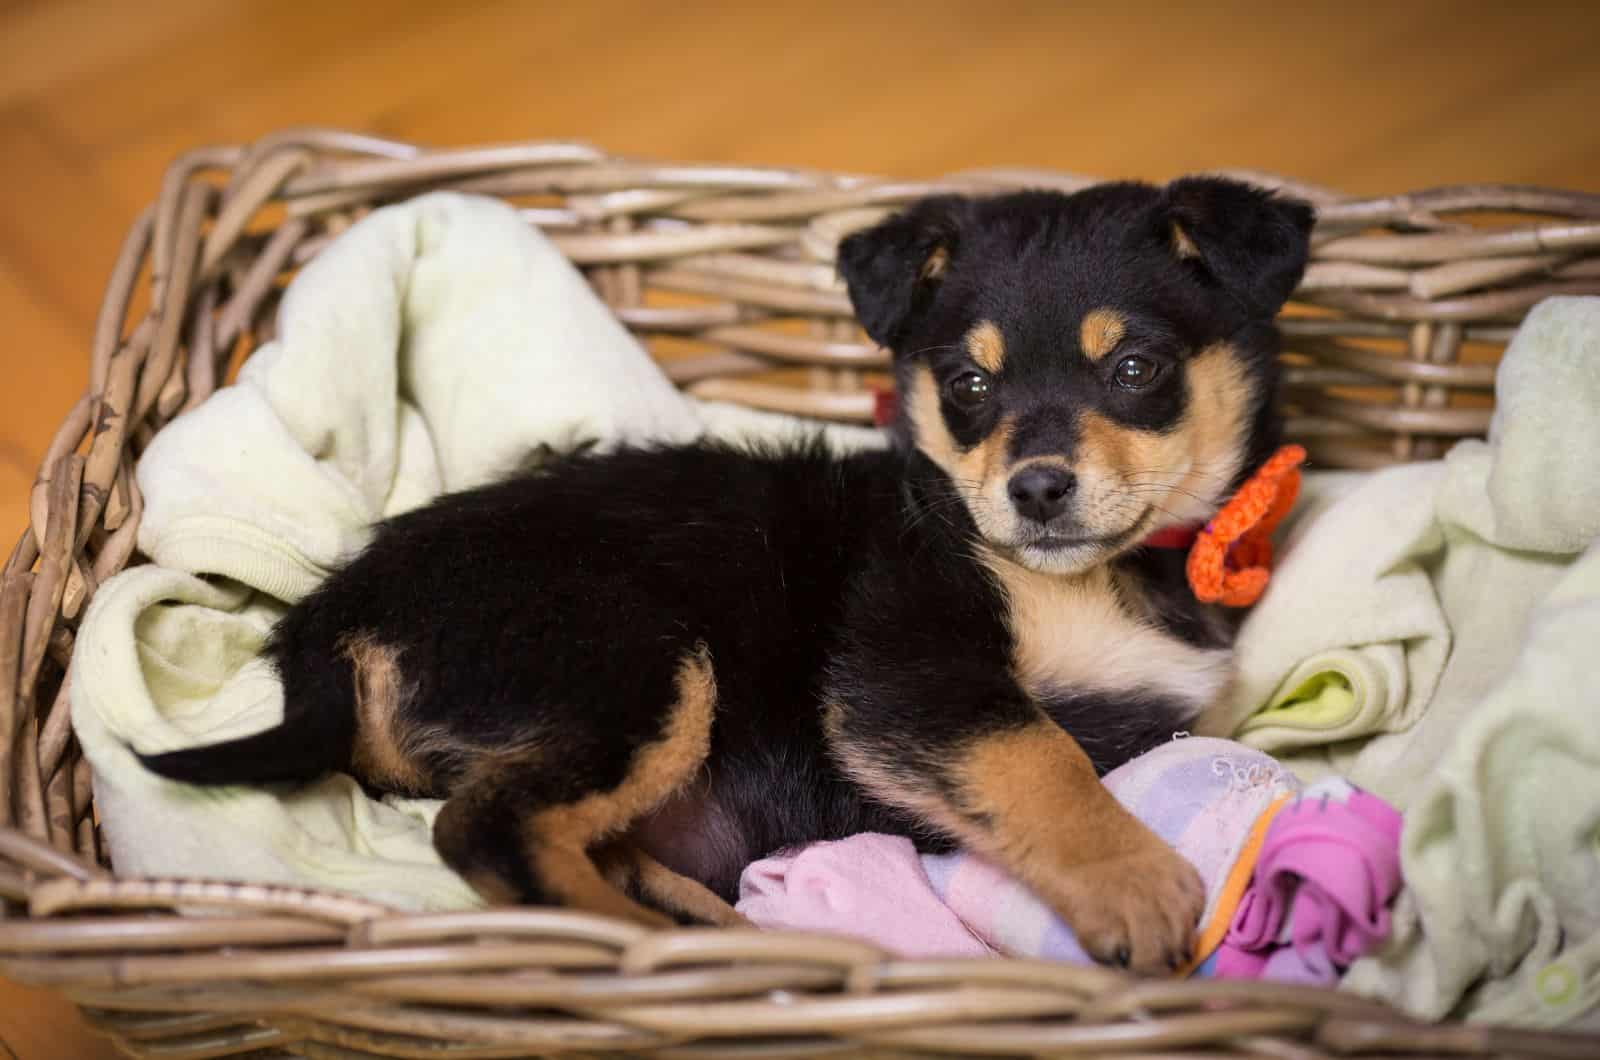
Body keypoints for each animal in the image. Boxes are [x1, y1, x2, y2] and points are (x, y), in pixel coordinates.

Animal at [137, 178, 1312, 973]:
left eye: (1136, 368)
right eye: (969, 385)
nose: (1035, 489)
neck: (1114, 577)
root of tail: (334, 609)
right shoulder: (909, 671)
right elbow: (1041, 757)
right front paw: (1136, 887)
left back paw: (711, 924)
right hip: (632, 665)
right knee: (489, 835)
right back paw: (643, 950)